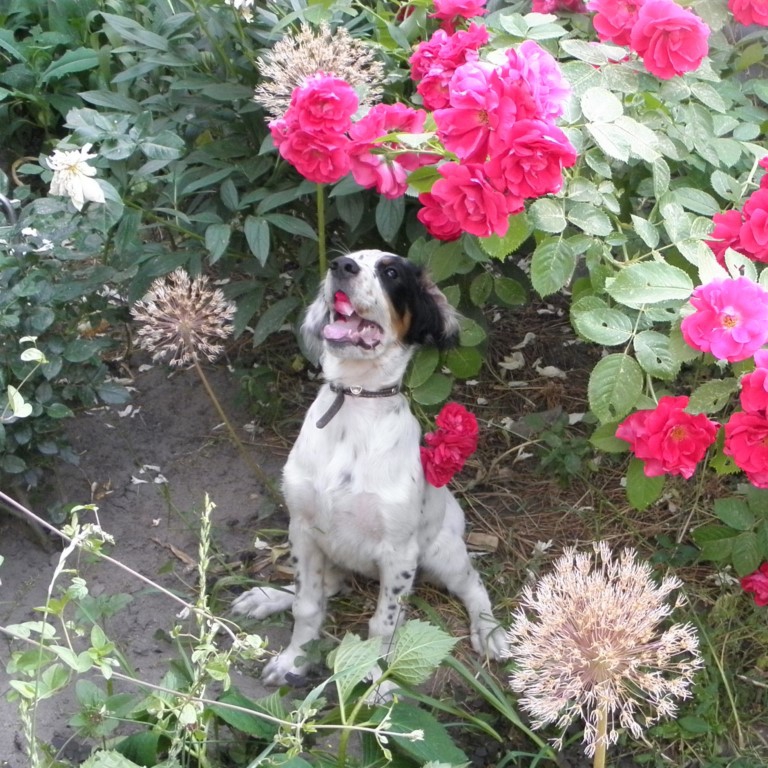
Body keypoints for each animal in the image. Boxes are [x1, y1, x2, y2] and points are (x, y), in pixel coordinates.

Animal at [233, 249, 507, 686]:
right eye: (346, 259)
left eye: (391, 272)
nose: (341, 266)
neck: (355, 399)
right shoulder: (303, 529)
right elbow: (307, 605)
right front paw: (294, 660)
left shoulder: (399, 554)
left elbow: (383, 625)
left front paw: (377, 683)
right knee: (327, 587)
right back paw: (268, 597)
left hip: (442, 552)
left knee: (473, 585)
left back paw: (489, 630)